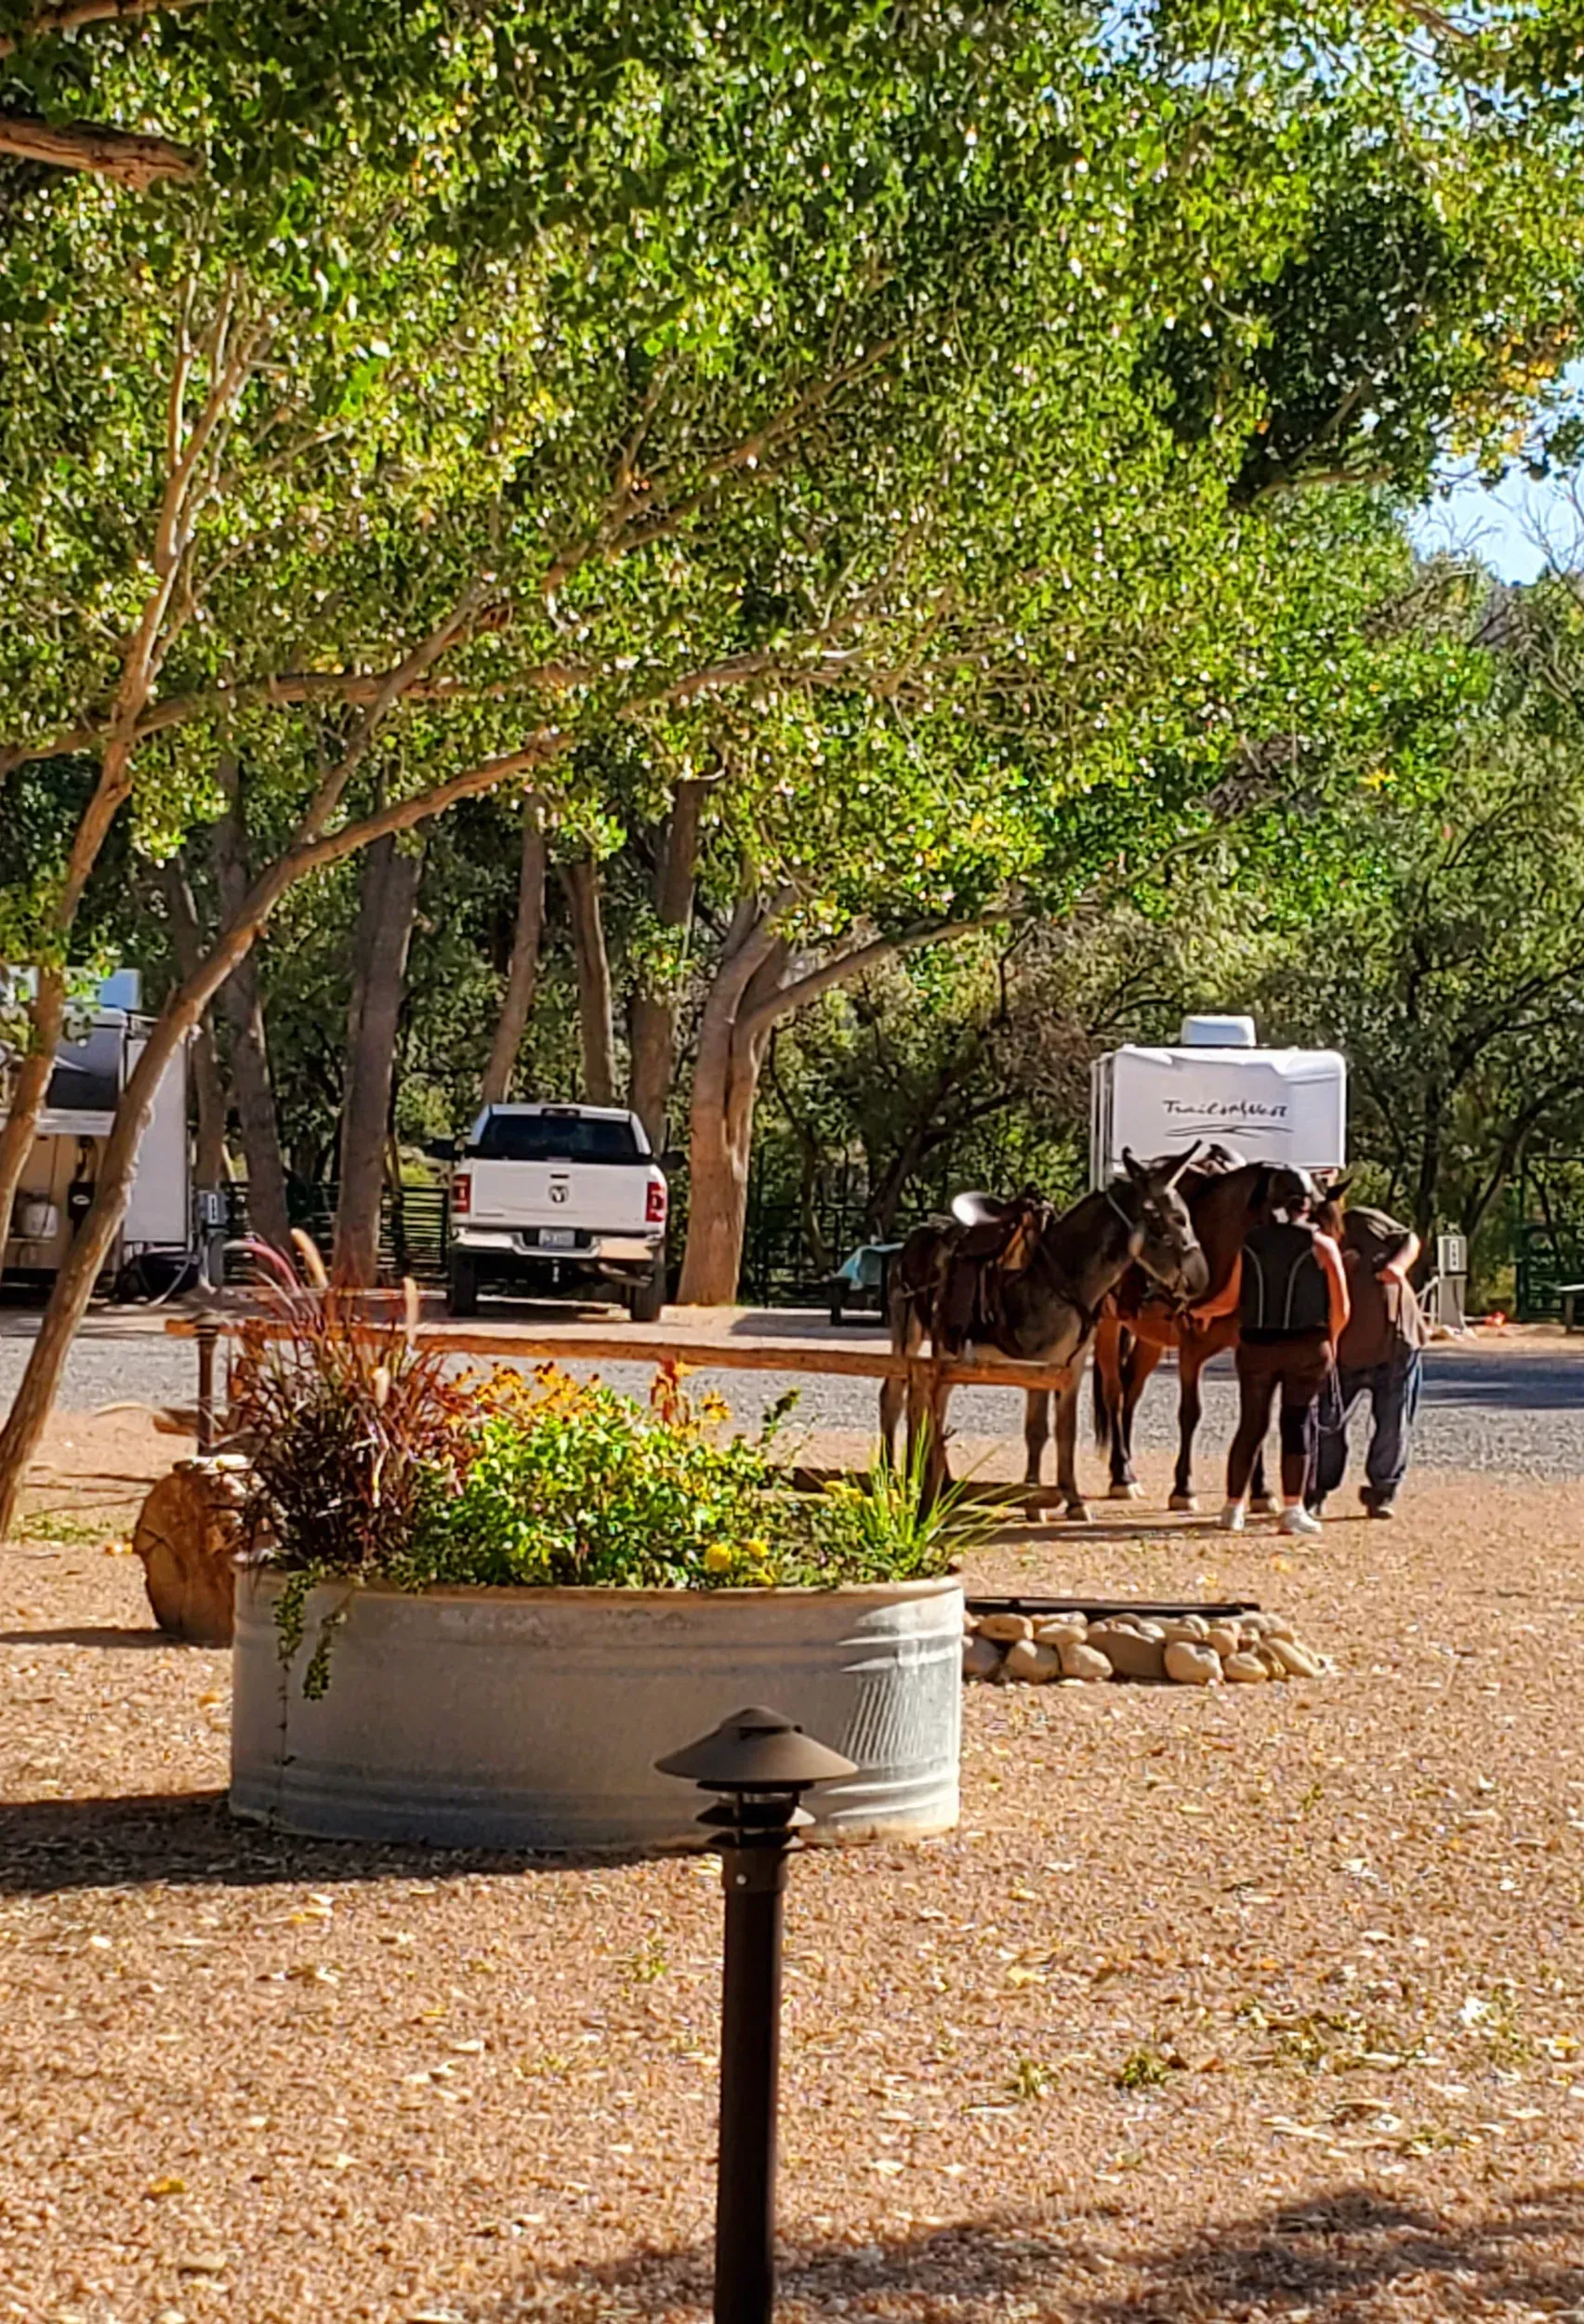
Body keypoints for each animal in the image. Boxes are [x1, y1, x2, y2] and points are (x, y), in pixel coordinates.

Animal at [879, 1148, 1209, 1518]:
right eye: (1174, 1219)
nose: (1201, 1278)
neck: (1064, 1274)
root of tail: (912, 1239)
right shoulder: (1038, 1366)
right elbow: (1036, 1431)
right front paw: (1033, 1501)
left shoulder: (1072, 1366)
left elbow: (1066, 1431)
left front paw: (1074, 1500)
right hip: (908, 1335)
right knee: (894, 1398)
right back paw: (890, 1476)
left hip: (944, 1352)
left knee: (933, 1405)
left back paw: (939, 1480)